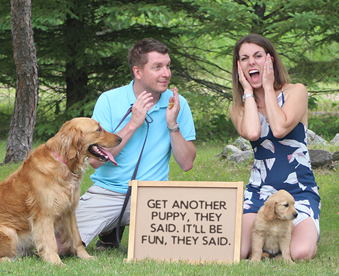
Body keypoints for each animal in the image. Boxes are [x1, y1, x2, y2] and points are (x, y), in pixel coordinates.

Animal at [0, 117, 122, 264]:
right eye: (98, 129)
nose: (120, 139)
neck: (64, 163)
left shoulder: (70, 212)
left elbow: (77, 239)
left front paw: (86, 257)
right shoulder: (44, 216)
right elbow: (50, 242)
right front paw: (56, 263)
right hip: (8, 231)